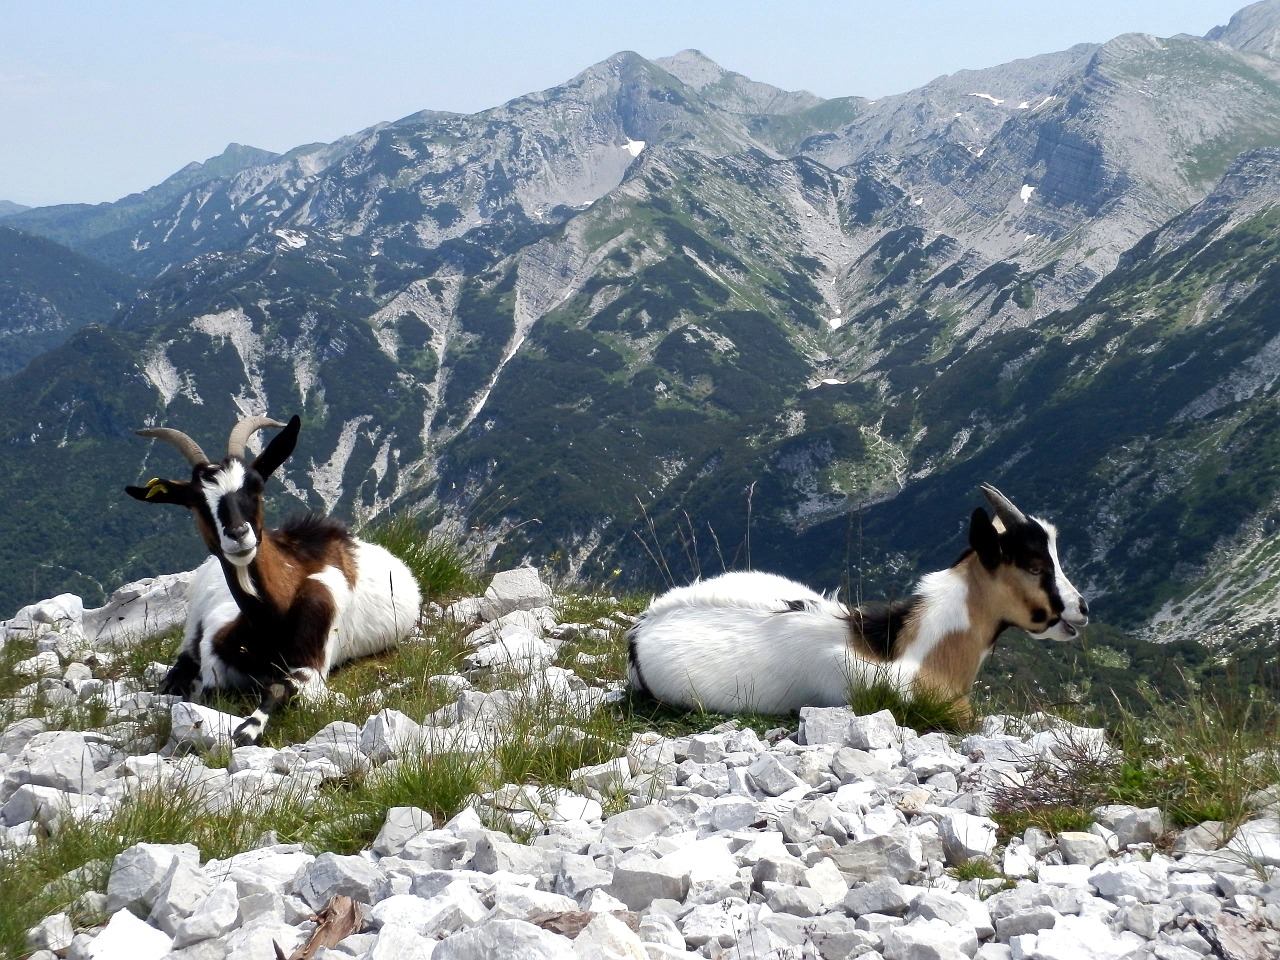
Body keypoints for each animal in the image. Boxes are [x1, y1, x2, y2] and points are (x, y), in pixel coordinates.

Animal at [128, 414, 422, 742]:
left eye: (256, 485)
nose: (238, 535)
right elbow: (210, 688)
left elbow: (281, 687)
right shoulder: (214, 649)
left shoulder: (313, 663)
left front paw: (248, 728)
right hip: (193, 624)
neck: (270, 624)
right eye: (195, 500)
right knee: (182, 661)